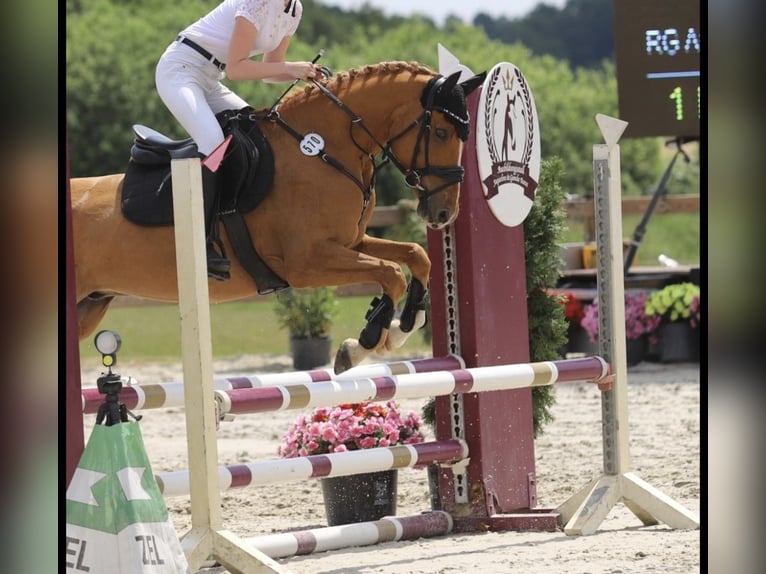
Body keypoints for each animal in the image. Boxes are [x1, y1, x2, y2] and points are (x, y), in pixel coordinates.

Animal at [71, 61, 485, 373]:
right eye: (442, 132)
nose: (443, 213)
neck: (323, 150)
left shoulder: (349, 242)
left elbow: (415, 255)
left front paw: (404, 325)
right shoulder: (306, 263)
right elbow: (390, 273)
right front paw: (363, 344)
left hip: (90, 306)